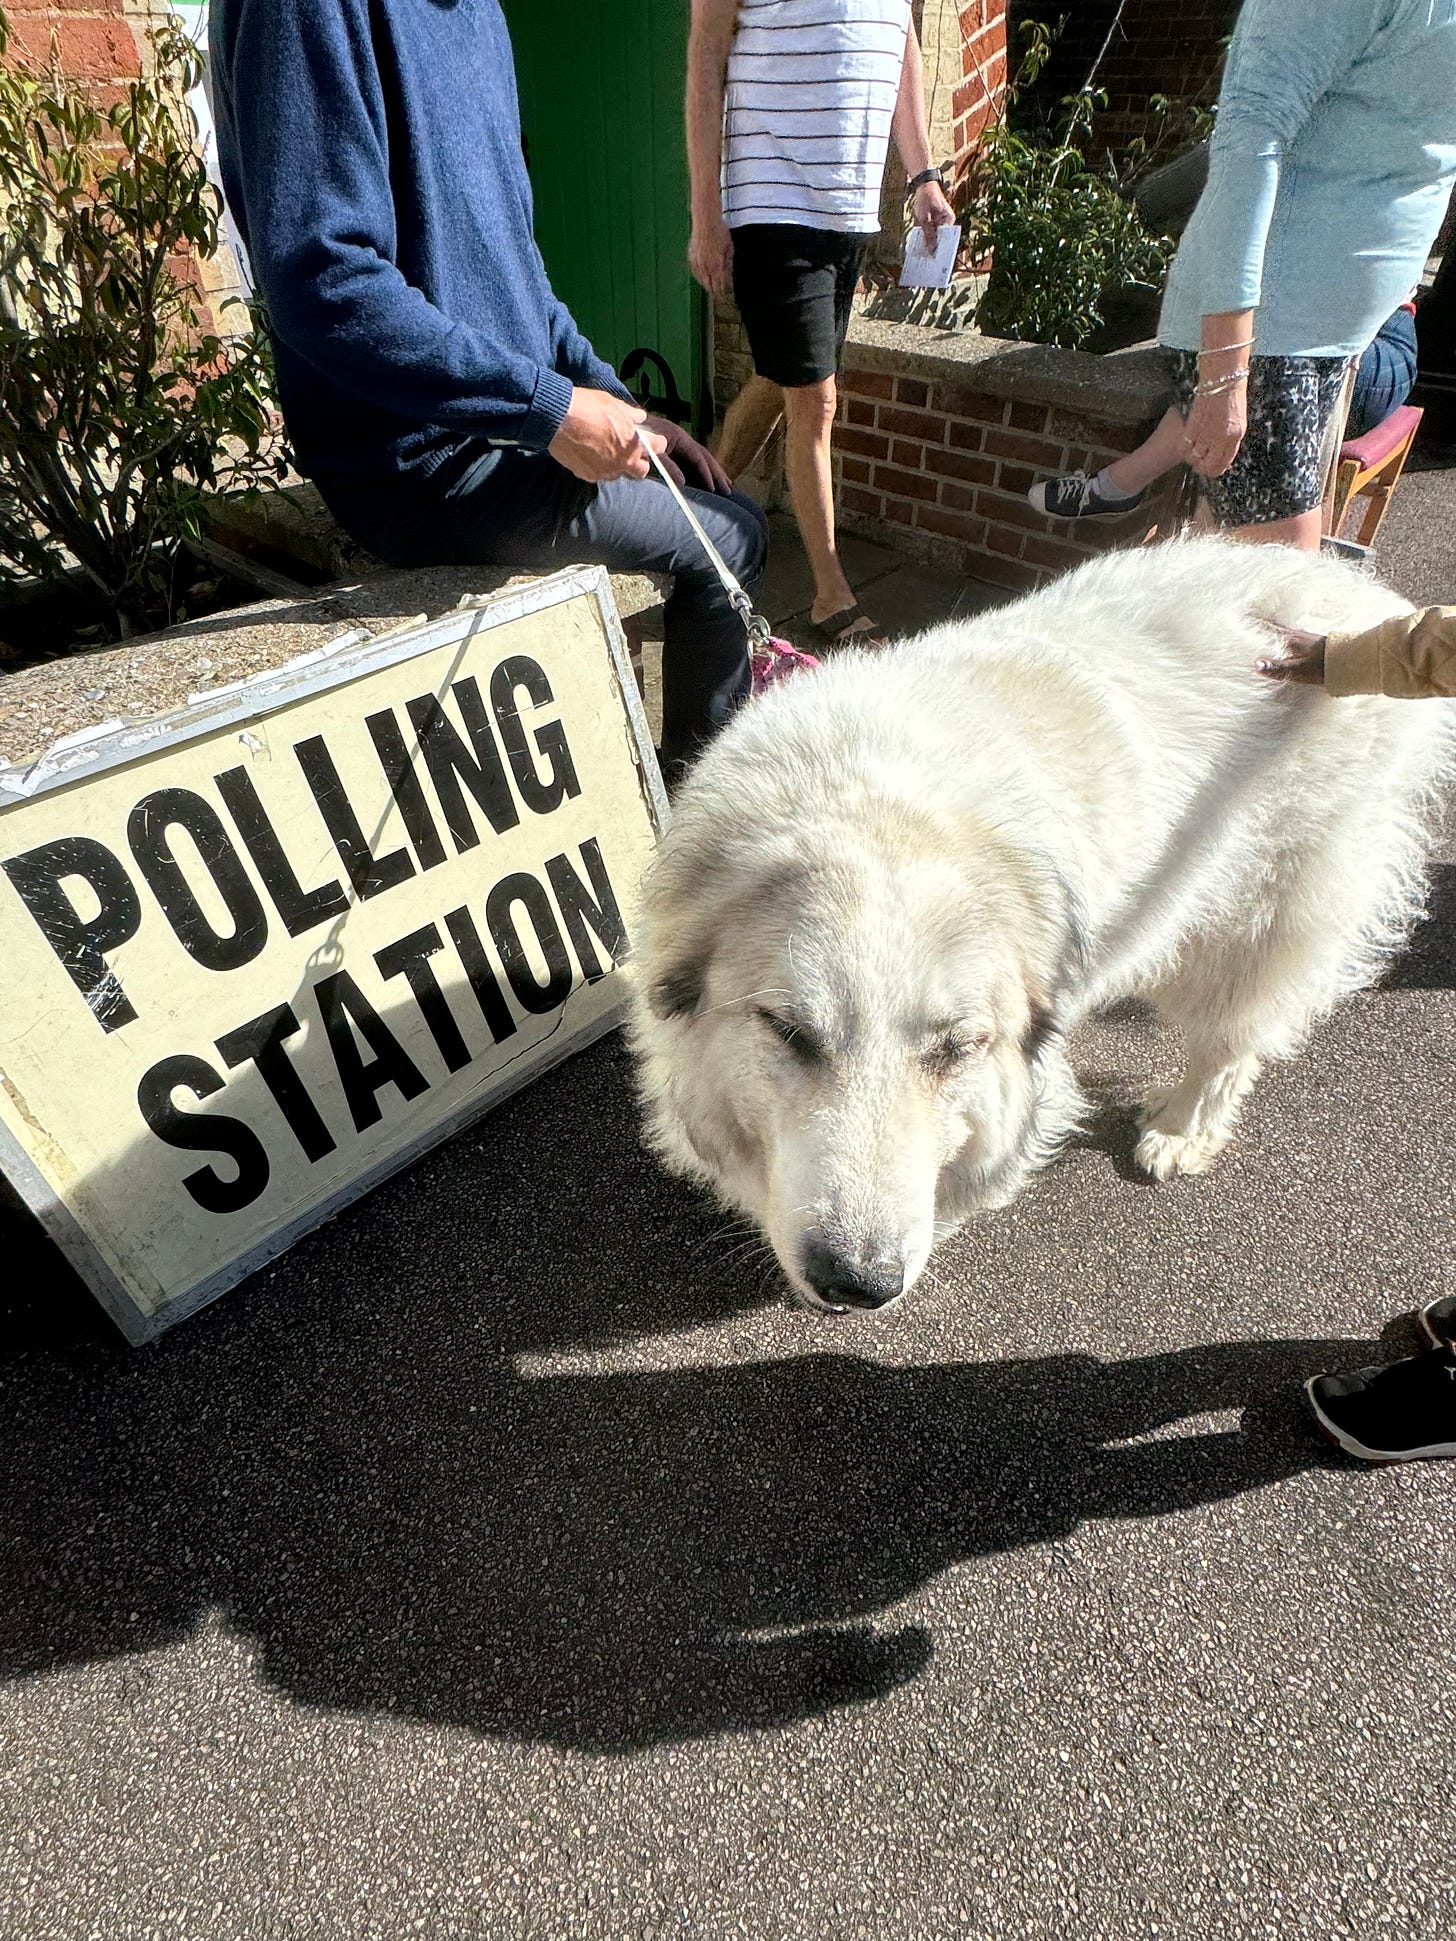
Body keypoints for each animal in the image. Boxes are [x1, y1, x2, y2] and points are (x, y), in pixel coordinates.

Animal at [628, 539, 1456, 1312]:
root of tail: (1351, 588)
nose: (860, 1284)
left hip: (1254, 923)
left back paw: (1183, 1127)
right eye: (790, 1032)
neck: (871, 801)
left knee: (1231, 1039)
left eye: (959, 1049)